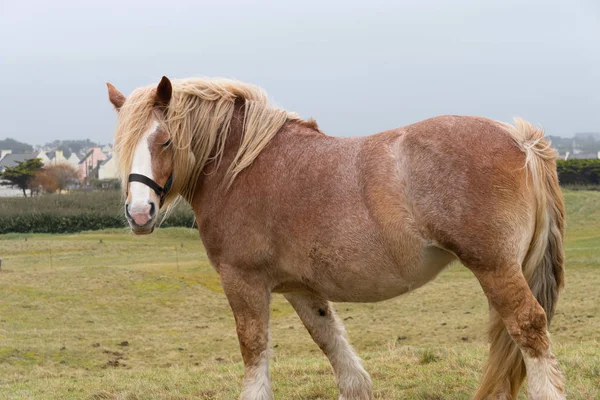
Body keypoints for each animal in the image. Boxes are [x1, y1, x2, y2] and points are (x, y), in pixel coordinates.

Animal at [105, 76, 564, 400]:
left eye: (165, 140)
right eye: (121, 147)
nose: (140, 213)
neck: (240, 167)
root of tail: (520, 139)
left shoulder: (243, 281)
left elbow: (254, 348)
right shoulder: (301, 289)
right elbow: (333, 346)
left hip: (496, 268)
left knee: (528, 326)